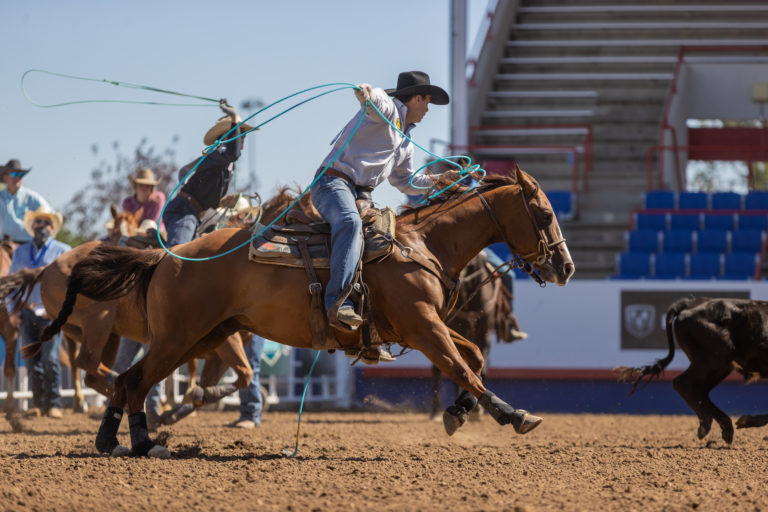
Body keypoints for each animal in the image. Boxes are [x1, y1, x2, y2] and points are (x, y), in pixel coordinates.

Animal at [40, 167, 568, 456]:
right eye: (544, 214)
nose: (566, 266)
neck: (420, 244)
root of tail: (165, 257)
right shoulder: (422, 327)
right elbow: (465, 367)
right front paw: (513, 414)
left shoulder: (428, 326)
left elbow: (472, 358)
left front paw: (459, 412)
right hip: (177, 339)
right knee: (133, 381)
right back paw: (145, 444)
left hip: (205, 337)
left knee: (128, 380)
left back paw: (116, 442)